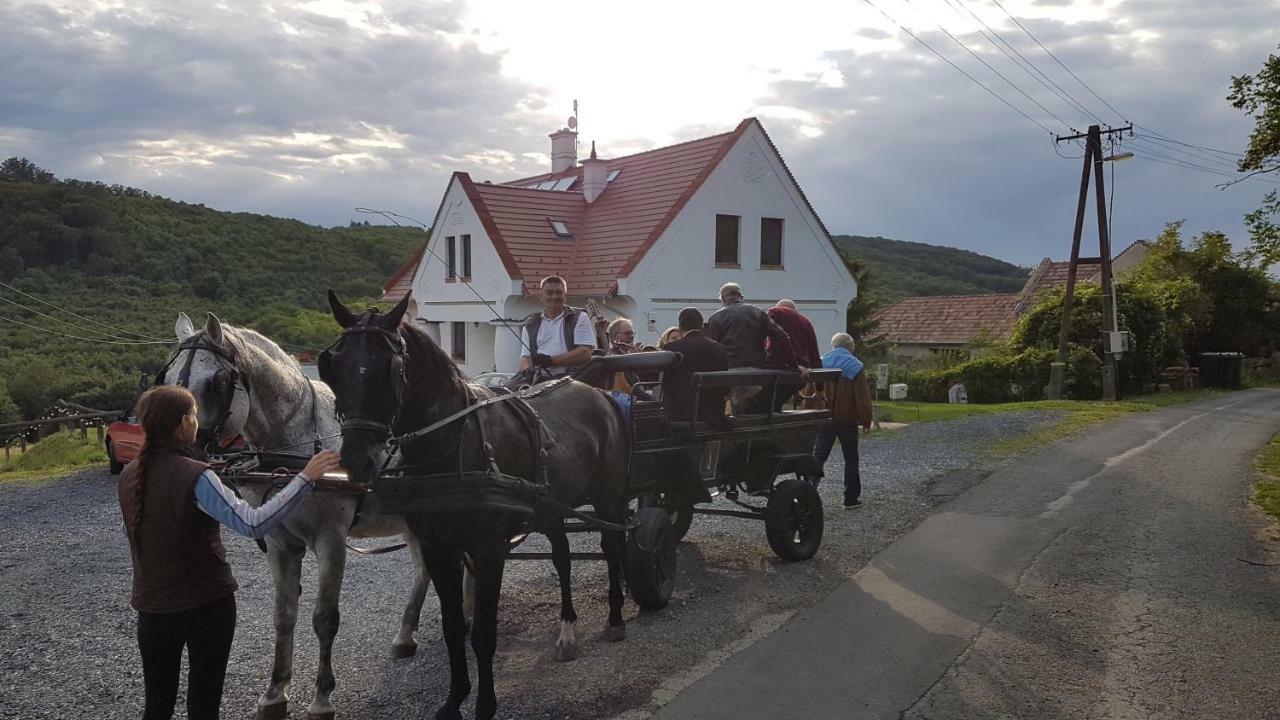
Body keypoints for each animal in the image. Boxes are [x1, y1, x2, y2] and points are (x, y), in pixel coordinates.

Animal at [166, 312, 430, 717]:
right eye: (166, 378)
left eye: (218, 382)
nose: (187, 452)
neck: (295, 442)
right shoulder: (279, 543)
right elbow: (284, 615)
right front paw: (275, 692)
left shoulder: (330, 539)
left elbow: (324, 618)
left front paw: (322, 697)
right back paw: (406, 635)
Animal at [322, 292, 632, 717]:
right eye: (333, 368)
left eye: (391, 368)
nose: (356, 461)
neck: (454, 442)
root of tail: (598, 393)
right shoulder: (439, 549)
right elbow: (454, 627)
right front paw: (454, 699)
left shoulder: (488, 549)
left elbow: (484, 632)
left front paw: (485, 704)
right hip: (551, 504)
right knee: (563, 557)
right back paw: (567, 630)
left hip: (608, 496)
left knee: (612, 547)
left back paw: (616, 618)